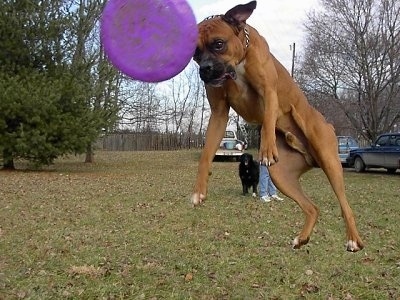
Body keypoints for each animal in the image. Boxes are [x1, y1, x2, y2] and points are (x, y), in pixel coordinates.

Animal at [191, 1, 366, 252]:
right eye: (195, 53)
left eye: (218, 44)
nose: (204, 68)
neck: (240, 60)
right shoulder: (219, 113)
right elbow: (206, 154)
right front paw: (199, 191)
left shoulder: (269, 93)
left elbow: (268, 121)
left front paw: (265, 149)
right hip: (281, 175)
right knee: (312, 208)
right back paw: (302, 238)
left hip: (330, 163)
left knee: (345, 206)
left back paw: (353, 240)